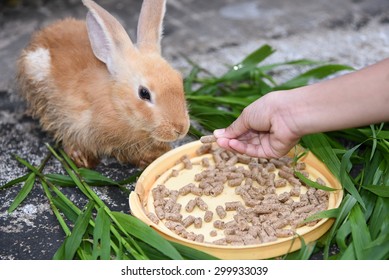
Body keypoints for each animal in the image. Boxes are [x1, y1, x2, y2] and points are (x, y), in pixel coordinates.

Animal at [16, 0, 189, 168]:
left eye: (179, 79)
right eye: (144, 93)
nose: (180, 129)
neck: (116, 103)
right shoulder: (71, 121)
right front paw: (83, 160)